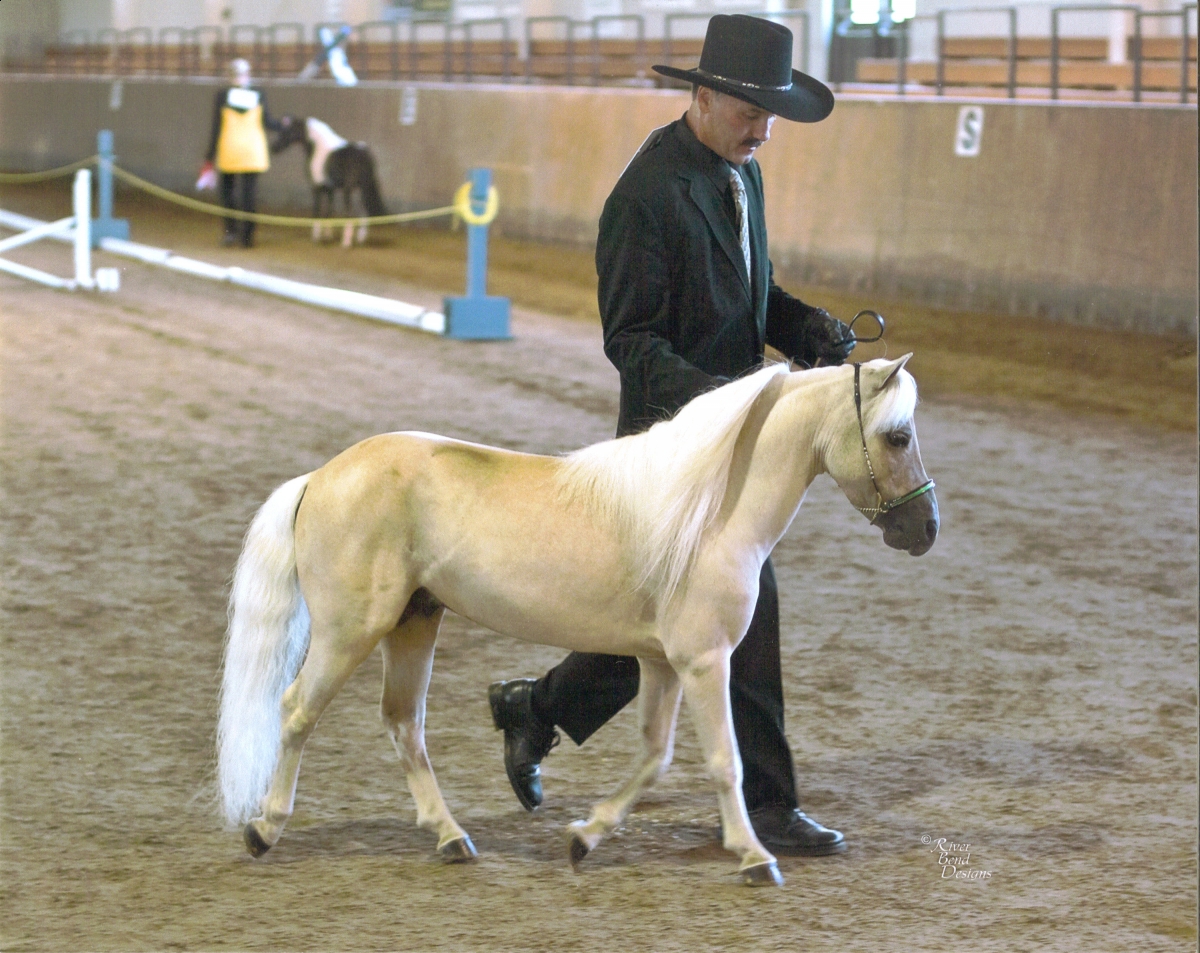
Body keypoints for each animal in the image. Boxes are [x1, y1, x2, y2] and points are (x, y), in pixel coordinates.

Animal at [217, 356, 939, 887]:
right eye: (897, 435)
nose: (925, 529)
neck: (709, 514)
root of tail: (320, 476)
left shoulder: (661, 663)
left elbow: (654, 755)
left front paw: (584, 838)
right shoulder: (705, 661)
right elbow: (722, 760)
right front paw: (756, 857)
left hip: (414, 623)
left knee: (403, 723)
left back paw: (452, 837)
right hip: (350, 630)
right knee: (297, 710)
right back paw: (264, 829)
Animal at [272, 116, 387, 247]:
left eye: (287, 130)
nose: (273, 148)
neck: (318, 148)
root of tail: (363, 153)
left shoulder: (316, 187)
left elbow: (317, 211)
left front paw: (316, 236)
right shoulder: (330, 189)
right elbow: (329, 211)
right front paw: (328, 235)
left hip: (348, 190)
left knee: (350, 213)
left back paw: (346, 242)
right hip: (363, 189)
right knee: (365, 212)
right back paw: (360, 238)